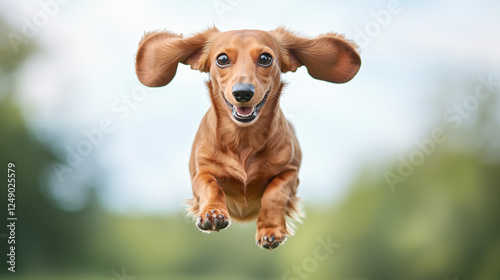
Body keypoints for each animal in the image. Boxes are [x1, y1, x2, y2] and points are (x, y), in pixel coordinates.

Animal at [134, 26, 360, 249]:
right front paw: (213, 213)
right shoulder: (200, 172)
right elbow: (211, 186)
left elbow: (274, 193)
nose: (243, 93)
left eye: (265, 58)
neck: (243, 141)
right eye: (222, 59)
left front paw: (270, 230)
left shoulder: (291, 173)